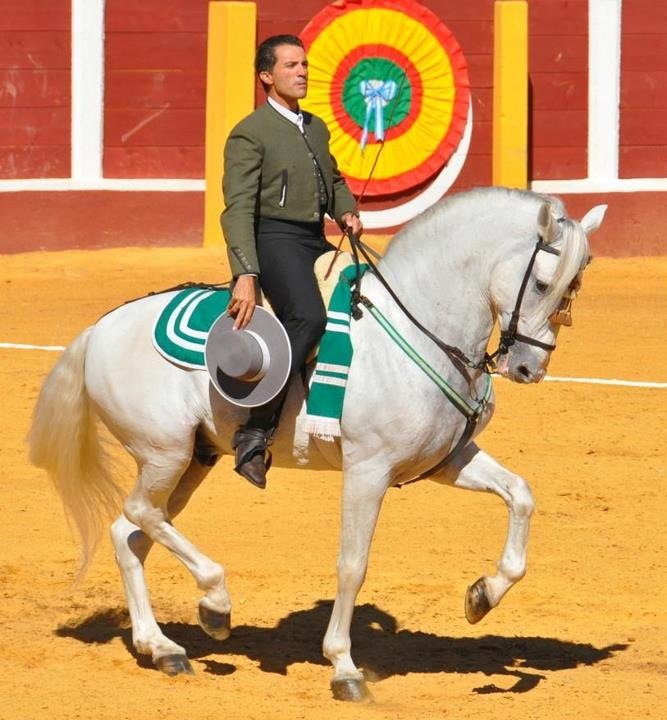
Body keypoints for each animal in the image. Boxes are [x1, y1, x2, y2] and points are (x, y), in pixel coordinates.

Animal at [28, 187, 606, 701]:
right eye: (544, 283)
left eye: (575, 286)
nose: (529, 368)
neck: (417, 328)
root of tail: (102, 326)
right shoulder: (368, 471)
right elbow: (353, 564)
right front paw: (344, 668)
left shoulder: (447, 460)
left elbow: (521, 495)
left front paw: (482, 596)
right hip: (164, 453)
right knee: (140, 514)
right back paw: (215, 605)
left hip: (192, 460)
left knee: (130, 532)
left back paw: (162, 647)